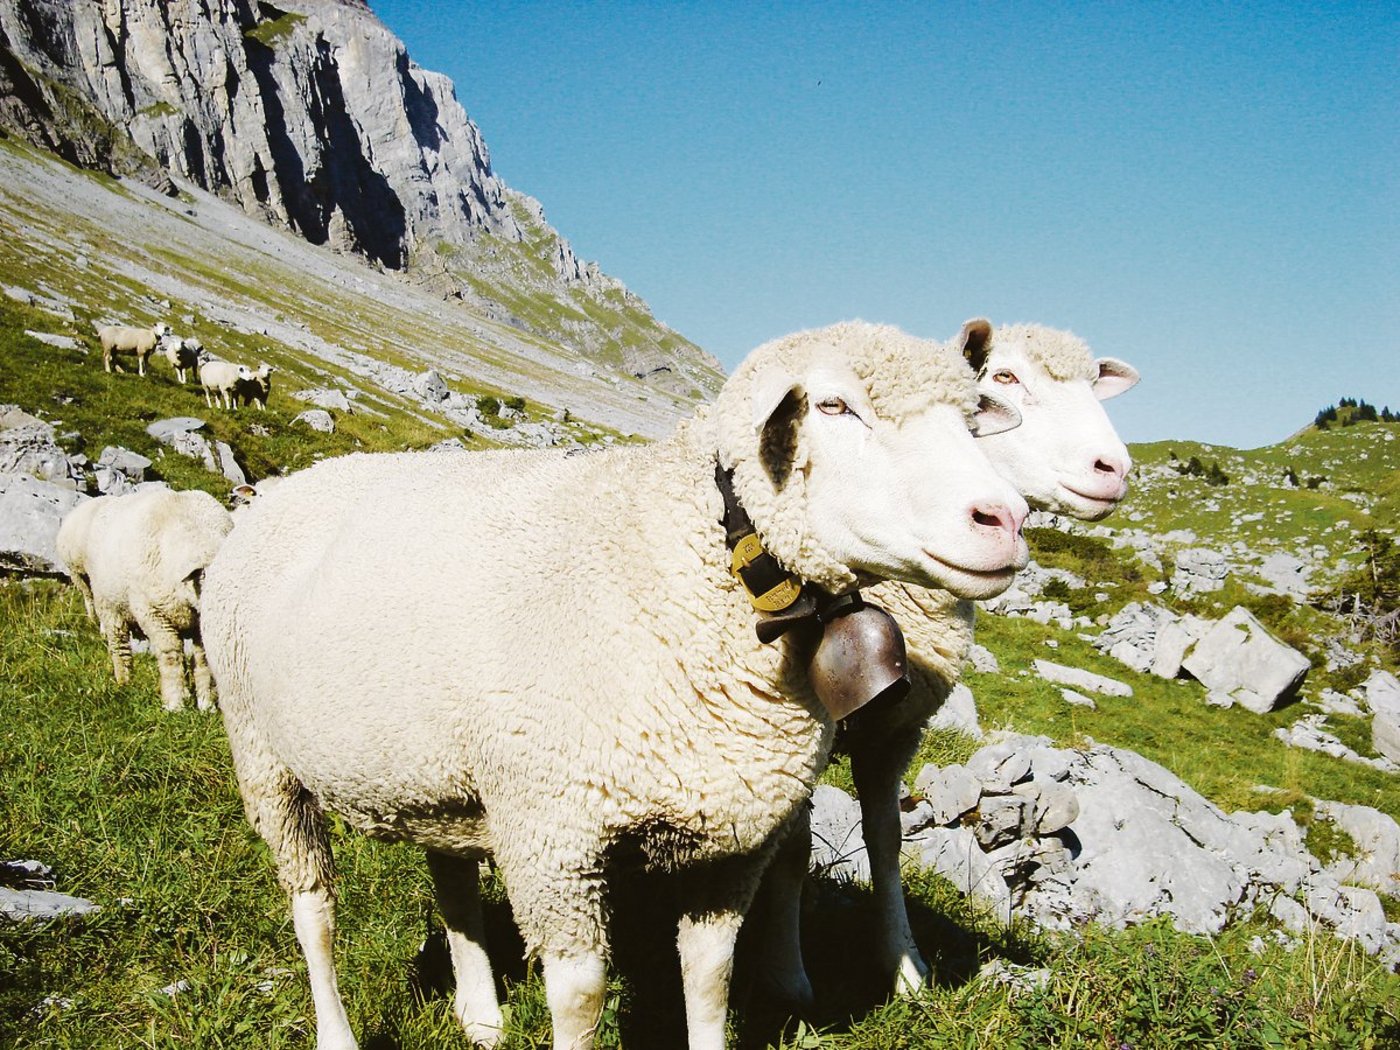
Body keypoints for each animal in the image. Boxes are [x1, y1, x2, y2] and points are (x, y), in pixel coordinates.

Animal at [56, 487, 233, 712]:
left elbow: (202, 659)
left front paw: (206, 704)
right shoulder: (153, 613)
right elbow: (170, 656)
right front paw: (175, 704)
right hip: (107, 603)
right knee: (119, 645)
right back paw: (125, 683)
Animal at [200, 320, 1031, 1050]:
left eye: (971, 420)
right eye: (833, 407)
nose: (1005, 519)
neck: (687, 551)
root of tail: (283, 489)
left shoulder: (729, 841)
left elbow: (709, 978)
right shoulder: (554, 833)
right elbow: (582, 996)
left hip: (441, 774)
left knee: (452, 884)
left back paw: (481, 1017)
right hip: (264, 758)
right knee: (314, 910)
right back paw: (337, 1028)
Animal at [757, 319, 1140, 1004]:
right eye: (1006, 376)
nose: (1114, 468)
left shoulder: (896, 729)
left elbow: (887, 840)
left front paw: (906, 966)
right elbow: (794, 845)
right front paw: (787, 975)